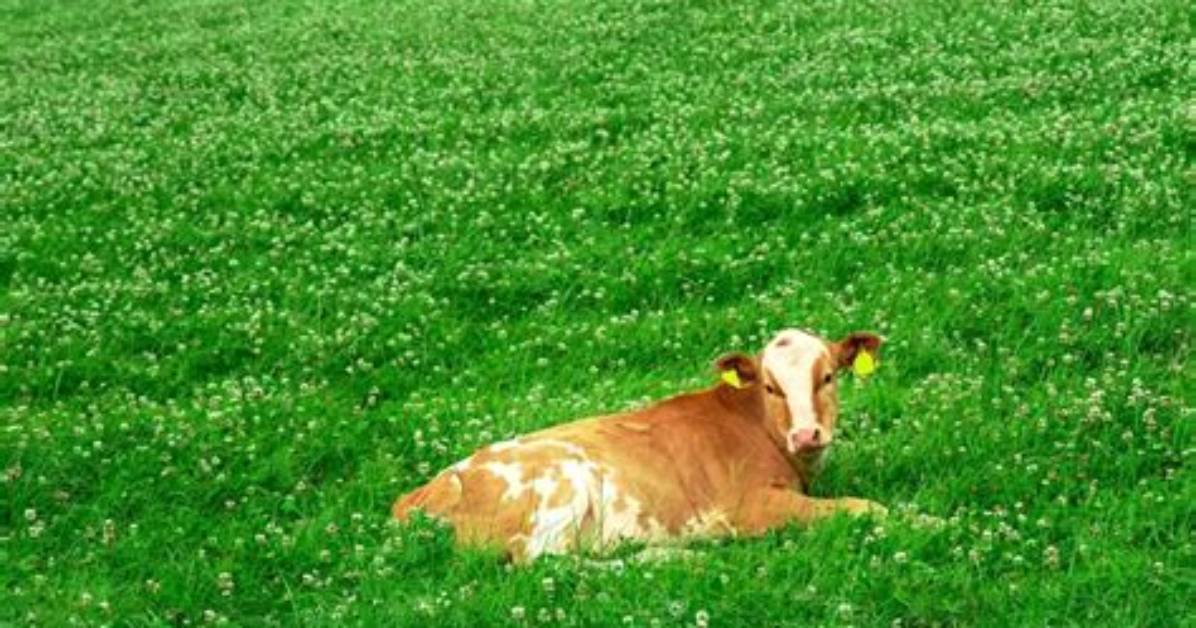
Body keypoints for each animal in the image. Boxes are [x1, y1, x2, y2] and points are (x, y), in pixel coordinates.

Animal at [393, 328, 887, 562]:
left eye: (828, 377)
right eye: (770, 387)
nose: (806, 434)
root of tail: (424, 491)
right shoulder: (746, 507)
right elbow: (868, 508)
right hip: (561, 485)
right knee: (541, 562)